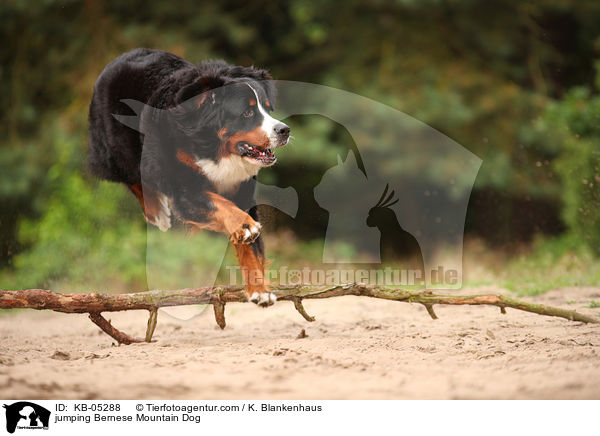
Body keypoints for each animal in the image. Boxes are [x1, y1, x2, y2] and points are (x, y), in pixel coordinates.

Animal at [87, 47, 290, 306]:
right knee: (132, 176)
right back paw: (157, 213)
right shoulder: (184, 190)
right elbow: (219, 204)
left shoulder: (243, 190)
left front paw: (259, 290)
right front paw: (244, 225)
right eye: (247, 113)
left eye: (267, 107)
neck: (211, 146)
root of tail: (118, 58)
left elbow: (251, 248)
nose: (284, 130)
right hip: (120, 149)